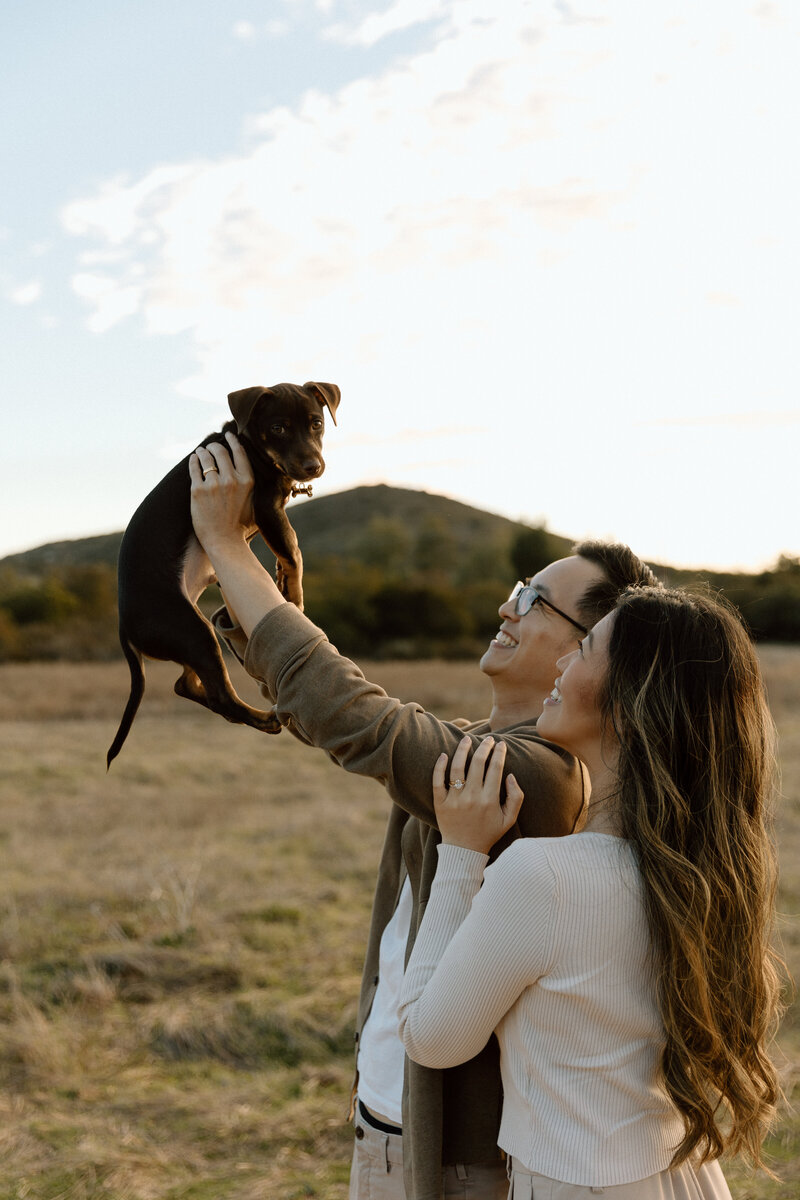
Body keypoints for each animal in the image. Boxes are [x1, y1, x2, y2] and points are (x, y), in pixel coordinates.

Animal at [105, 381, 338, 768]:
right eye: (278, 428)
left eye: (317, 423)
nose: (313, 466)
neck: (252, 446)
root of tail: (124, 627)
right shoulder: (267, 507)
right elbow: (294, 549)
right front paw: (294, 595)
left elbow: (286, 551)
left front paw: (281, 582)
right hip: (192, 630)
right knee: (218, 695)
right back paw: (265, 718)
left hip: (190, 638)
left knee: (188, 685)